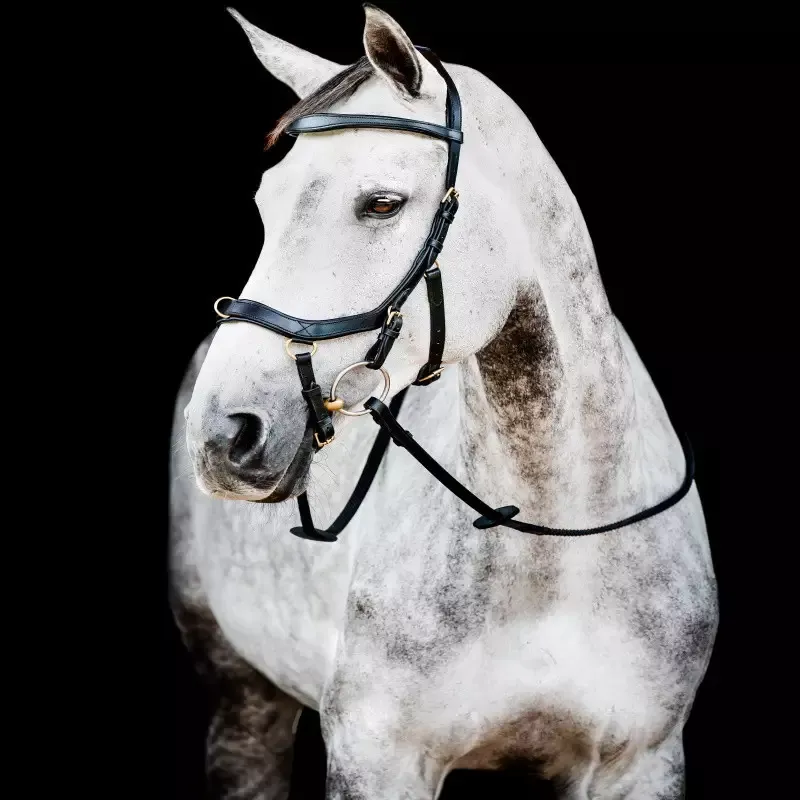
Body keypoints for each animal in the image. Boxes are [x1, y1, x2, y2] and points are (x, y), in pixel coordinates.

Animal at [169, 5, 718, 798]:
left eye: (382, 203)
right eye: (266, 205)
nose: (223, 434)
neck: (555, 541)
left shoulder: (639, 764)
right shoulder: (376, 757)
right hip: (243, 697)